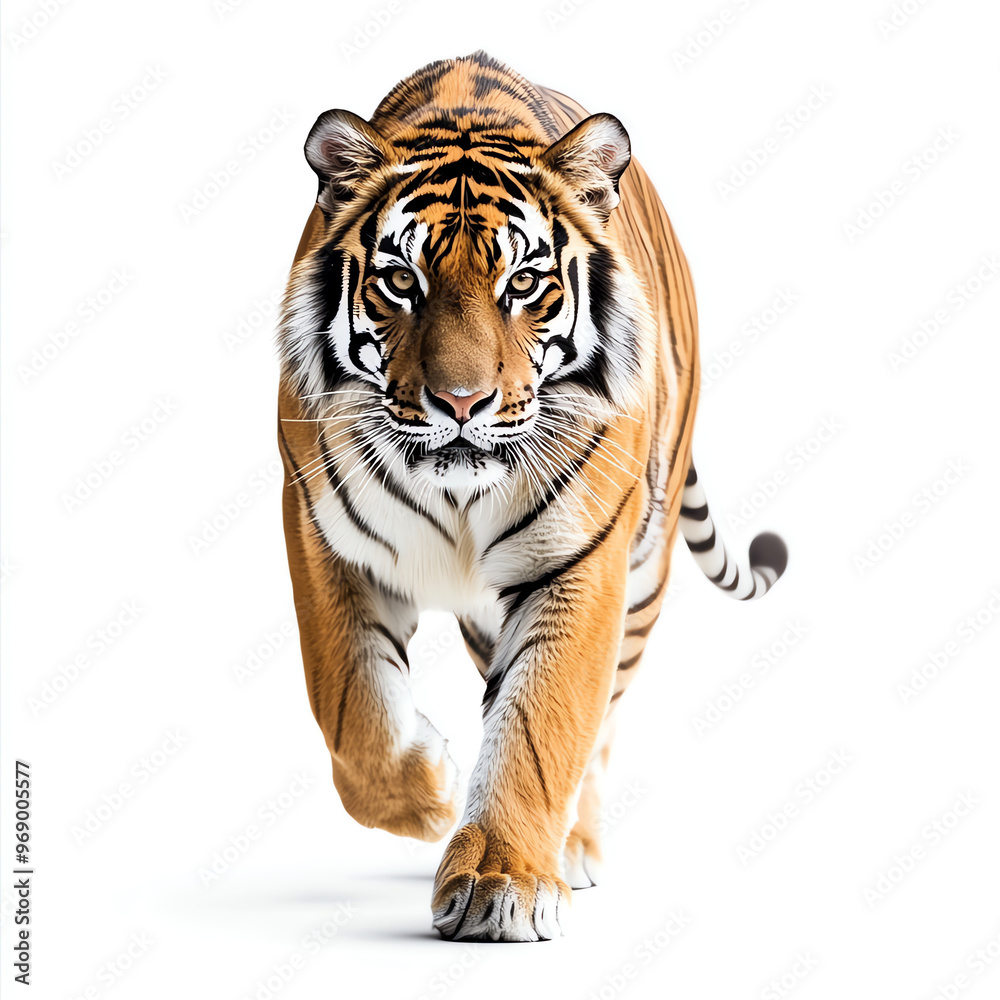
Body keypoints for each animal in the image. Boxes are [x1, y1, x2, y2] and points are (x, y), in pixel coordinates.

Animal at [277, 50, 787, 943]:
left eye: (522, 284)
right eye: (401, 281)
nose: (460, 402)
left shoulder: (580, 563)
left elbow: (544, 724)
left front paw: (501, 880)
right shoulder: (320, 531)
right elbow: (350, 706)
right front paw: (431, 792)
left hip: (642, 578)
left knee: (601, 717)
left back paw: (573, 846)